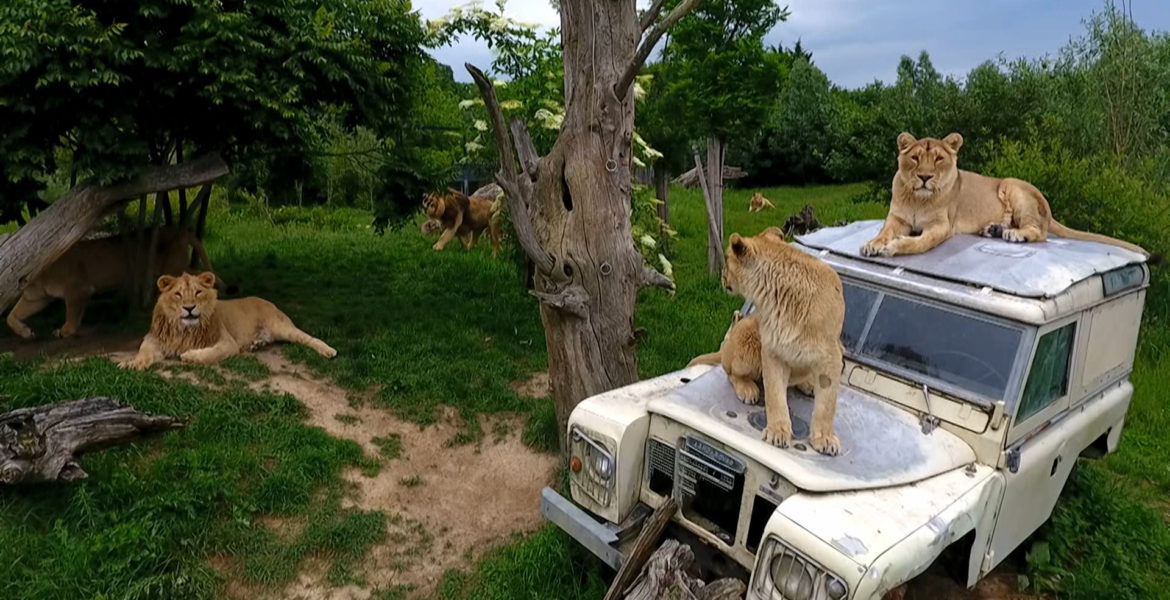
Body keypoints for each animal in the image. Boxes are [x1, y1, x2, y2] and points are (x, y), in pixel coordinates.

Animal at [120, 272, 334, 369]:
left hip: (281, 326)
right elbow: (143, 352)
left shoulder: (227, 343)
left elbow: (211, 354)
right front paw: (131, 364)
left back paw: (328, 351)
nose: (189, 308)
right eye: (178, 294)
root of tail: (267, 300)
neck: (185, 330)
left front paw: (190, 356)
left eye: (198, 292)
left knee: (307, 338)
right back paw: (255, 345)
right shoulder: (154, 339)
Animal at [716, 226, 847, 451]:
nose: (722, 277)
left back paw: (808, 385)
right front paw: (777, 432)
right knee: (730, 372)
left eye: (726, 259)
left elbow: (827, 404)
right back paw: (747, 389)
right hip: (747, 332)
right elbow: (775, 394)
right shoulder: (773, 350)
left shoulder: (832, 355)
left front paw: (825, 439)